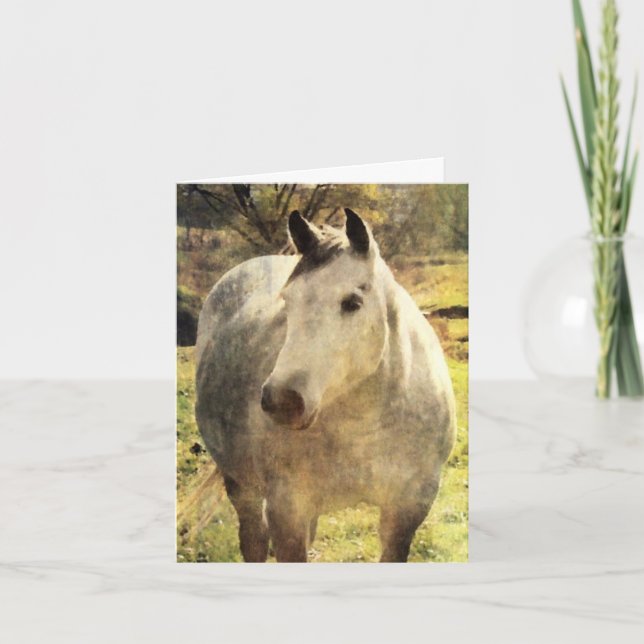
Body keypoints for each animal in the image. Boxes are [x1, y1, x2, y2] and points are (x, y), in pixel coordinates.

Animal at [195, 208, 456, 562]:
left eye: (352, 302)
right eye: (287, 301)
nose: (282, 401)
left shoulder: (408, 509)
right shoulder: (286, 509)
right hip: (240, 484)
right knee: (253, 540)